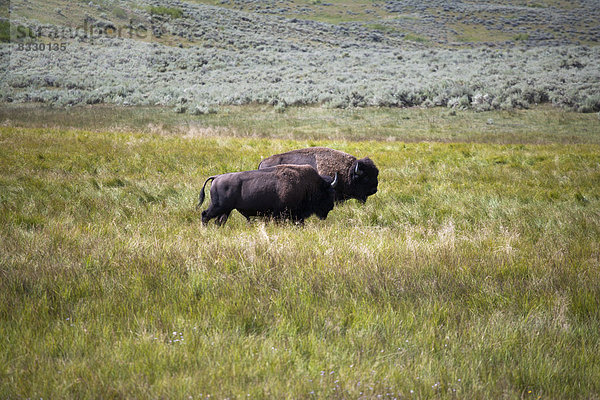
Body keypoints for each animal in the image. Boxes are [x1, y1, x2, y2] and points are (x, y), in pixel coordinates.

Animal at [197, 162, 338, 225]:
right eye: (329, 193)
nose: (331, 207)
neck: (309, 185)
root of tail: (216, 177)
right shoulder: (283, 214)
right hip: (218, 207)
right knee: (205, 215)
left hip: (226, 210)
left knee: (219, 221)